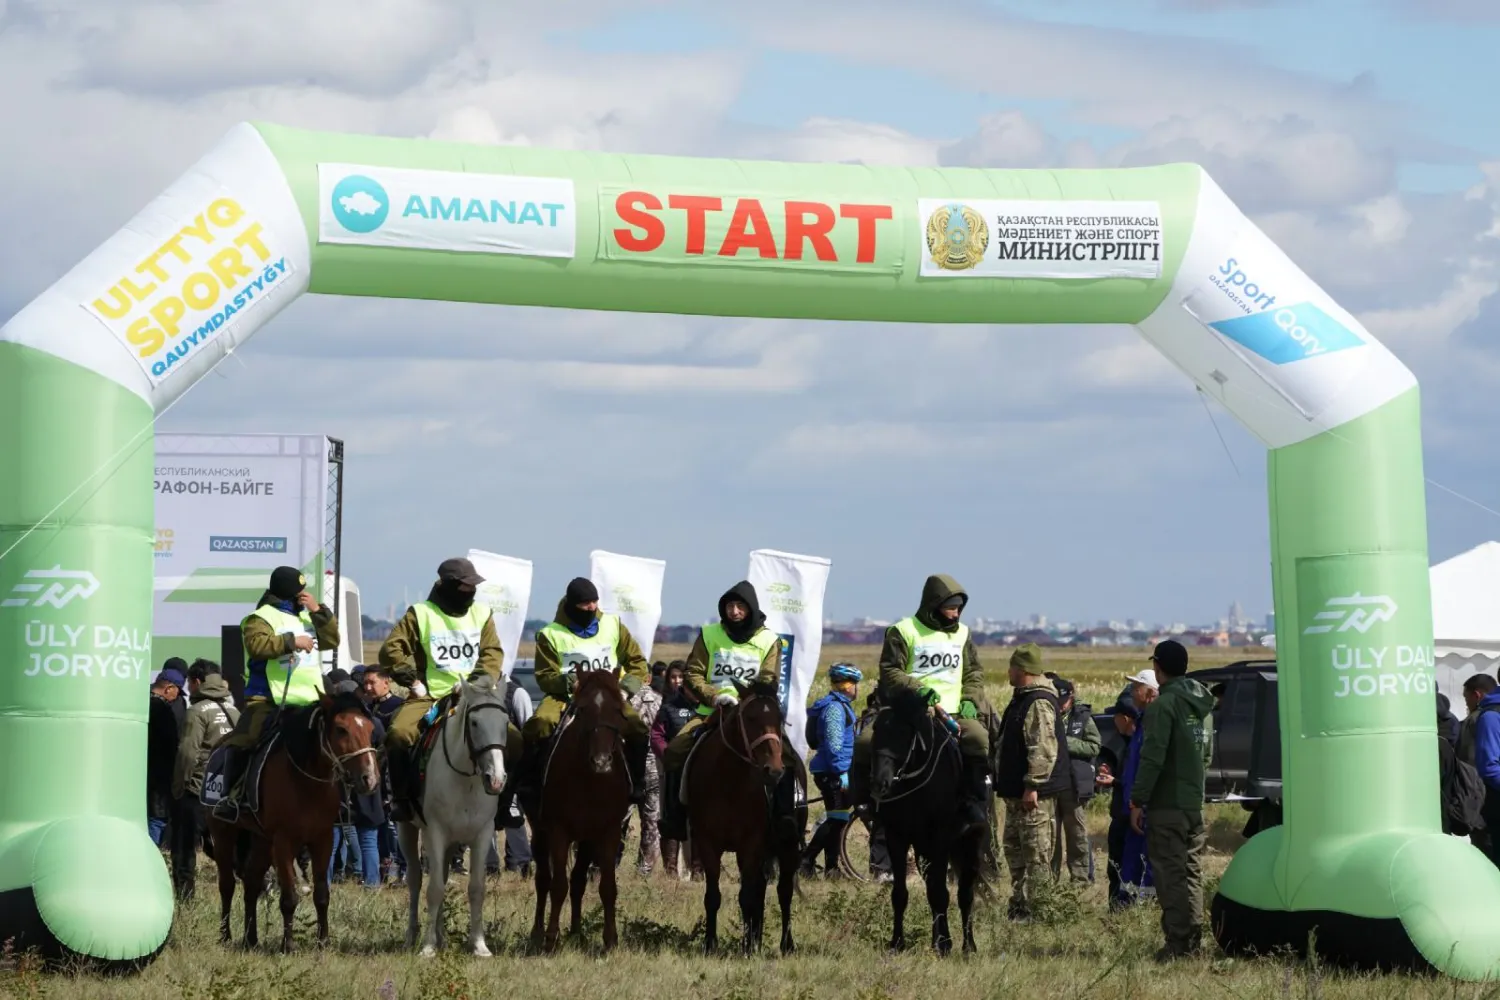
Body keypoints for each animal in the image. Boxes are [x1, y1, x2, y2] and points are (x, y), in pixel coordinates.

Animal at [205, 692, 378, 959]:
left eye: (370, 728)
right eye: (341, 729)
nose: (369, 778)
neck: (306, 782)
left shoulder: (323, 839)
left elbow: (322, 895)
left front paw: (323, 942)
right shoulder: (284, 842)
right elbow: (289, 898)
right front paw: (288, 946)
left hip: (262, 841)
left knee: (252, 883)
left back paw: (250, 939)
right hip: (224, 833)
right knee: (227, 885)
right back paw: (225, 936)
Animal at [396, 677, 513, 959]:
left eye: (505, 722)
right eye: (474, 723)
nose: (496, 779)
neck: (466, 780)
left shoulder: (482, 835)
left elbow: (476, 888)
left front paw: (479, 945)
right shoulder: (435, 833)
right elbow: (434, 889)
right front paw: (428, 947)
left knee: (442, 875)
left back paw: (442, 937)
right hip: (407, 829)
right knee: (415, 880)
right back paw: (413, 936)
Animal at [528, 665, 633, 953]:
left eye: (618, 709)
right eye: (583, 709)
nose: (602, 761)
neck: (589, 780)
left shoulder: (608, 832)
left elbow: (607, 887)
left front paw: (610, 940)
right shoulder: (558, 831)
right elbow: (557, 886)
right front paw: (551, 939)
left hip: (586, 840)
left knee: (577, 881)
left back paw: (576, 933)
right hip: (540, 833)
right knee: (543, 880)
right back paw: (537, 933)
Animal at [687, 680, 810, 953]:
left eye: (779, 718)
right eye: (751, 717)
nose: (774, 770)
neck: (728, 781)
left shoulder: (750, 844)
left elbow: (746, 897)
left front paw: (745, 949)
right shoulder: (708, 842)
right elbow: (714, 896)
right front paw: (711, 944)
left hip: (787, 846)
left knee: (784, 891)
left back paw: (786, 944)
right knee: (761, 891)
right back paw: (756, 939)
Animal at [870, 683, 984, 959]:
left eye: (904, 732)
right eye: (876, 728)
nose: (880, 783)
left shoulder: (940, 837)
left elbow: (941, 893)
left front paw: (944, 944)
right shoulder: (897, 837)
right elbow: (900, 893)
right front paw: (897, 943)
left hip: (968, 845)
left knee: (965, 894)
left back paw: (968, 945)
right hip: (925, 850)